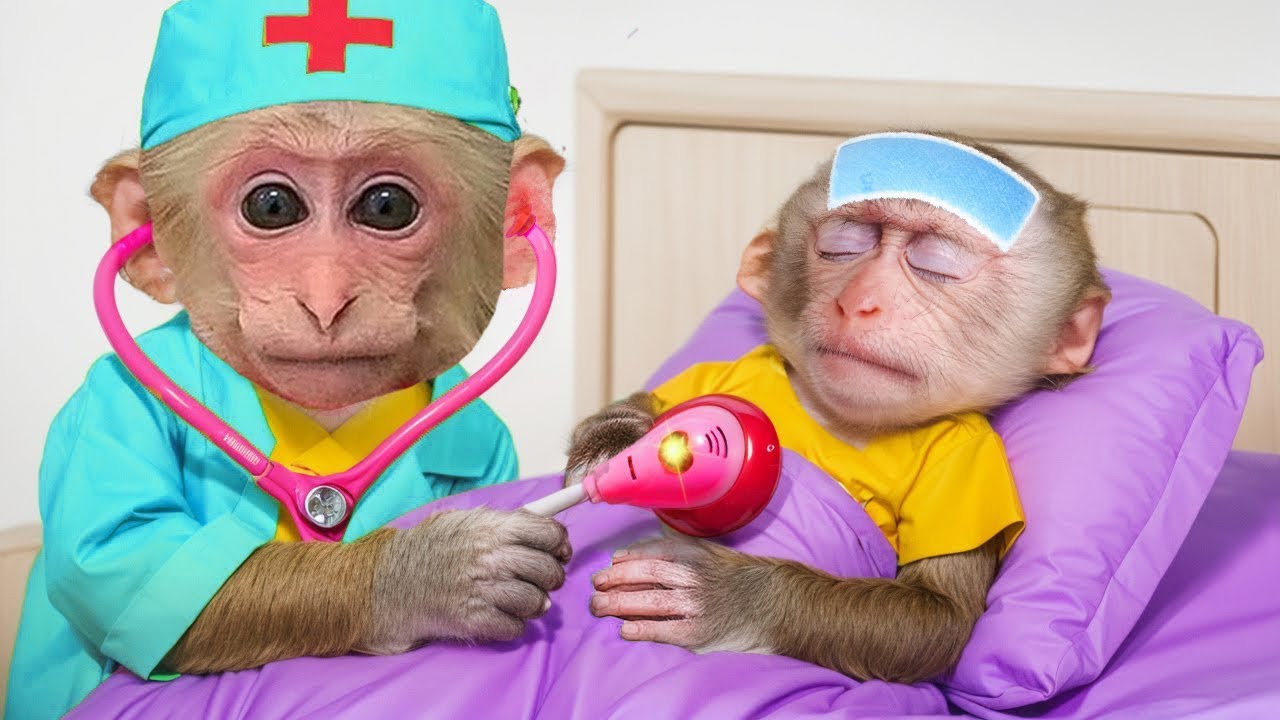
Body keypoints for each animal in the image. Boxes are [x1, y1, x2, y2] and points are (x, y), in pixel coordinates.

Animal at [6, 3, 572, 718]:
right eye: (272, 206)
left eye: (387, 206)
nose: (325, 299)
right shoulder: (109, 409)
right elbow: (151, 568)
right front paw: (430, 575)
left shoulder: (490, 444)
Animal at [565, 132, 1110, 685]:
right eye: (845, 244)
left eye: (938, 263)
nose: (863, 299)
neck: (835, 418)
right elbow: (655, 401)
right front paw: (617, 439)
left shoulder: (970, 463)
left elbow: (940, 615)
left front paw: (726, 597)